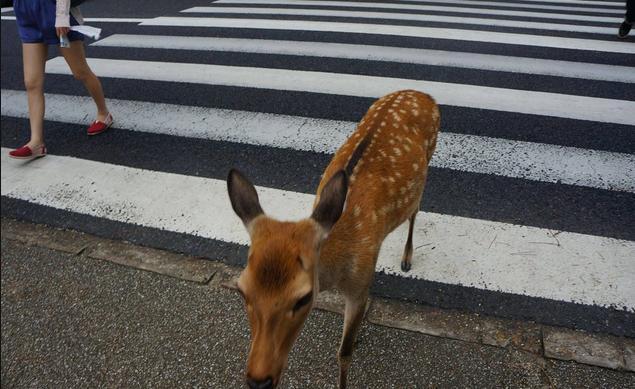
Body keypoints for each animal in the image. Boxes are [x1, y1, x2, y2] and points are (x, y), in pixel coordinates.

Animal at [226, 89, 440, 386]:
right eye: (241, 289)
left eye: (303, 298)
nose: (259, 381)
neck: (336, 273)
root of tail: (423, 93)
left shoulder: (359, 285)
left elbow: (344, 353)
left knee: (416, 209)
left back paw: (407, 258)